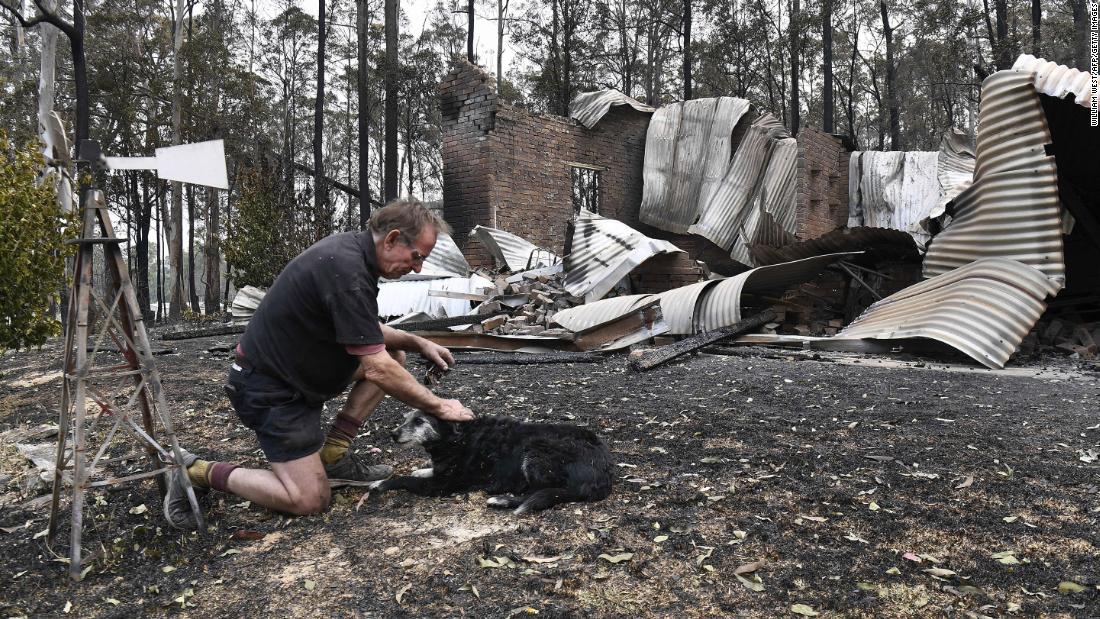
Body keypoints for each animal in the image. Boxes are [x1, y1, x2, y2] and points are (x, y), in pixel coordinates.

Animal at [367, 411, 611, 514]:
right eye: (405, 418)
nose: (392, 434)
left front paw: (380, 484)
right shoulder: (441, 473)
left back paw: (502, 500)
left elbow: (403, 479)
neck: (456, 437)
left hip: (535, 451)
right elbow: (428, 470)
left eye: (419, 421)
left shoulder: (439, 486)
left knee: (537, 493)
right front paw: (421, 469)